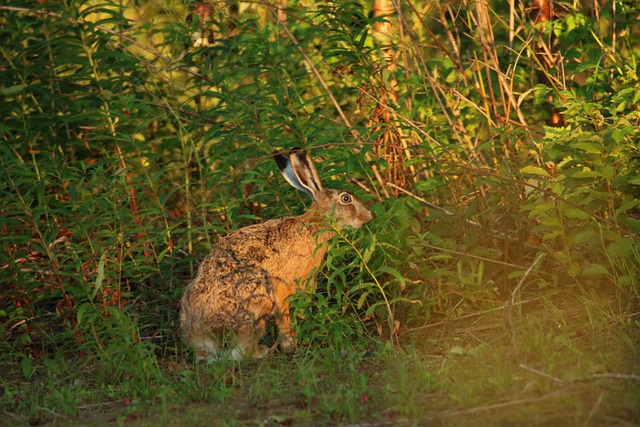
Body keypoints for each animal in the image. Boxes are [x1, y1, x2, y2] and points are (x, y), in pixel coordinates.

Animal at [180, 148, 373, 361]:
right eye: (346, 199)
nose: (368, 216)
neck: (314, 226)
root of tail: (204, 337)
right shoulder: (284, 288)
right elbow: (285, 317)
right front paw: (291, 345)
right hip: (257, 302)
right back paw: (262, 351)